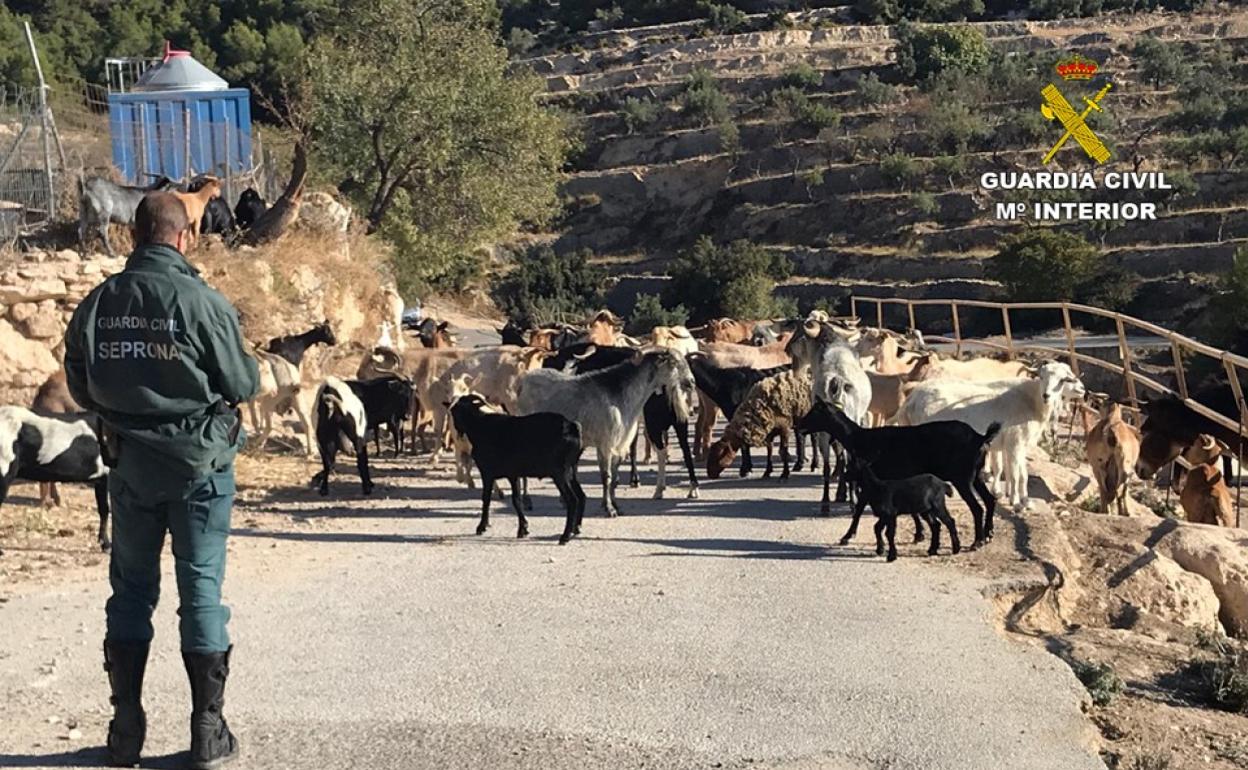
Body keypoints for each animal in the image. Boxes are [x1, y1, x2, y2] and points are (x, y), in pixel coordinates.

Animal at [446, 394, 586, 544]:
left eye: (454, 411)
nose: (457, 431)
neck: (480, 426)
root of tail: (572, 426)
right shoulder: (513, 475)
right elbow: (516, 499)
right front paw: (523, 528)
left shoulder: (487, 473)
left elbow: (486, 498)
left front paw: (481, 527)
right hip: (571, 471)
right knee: (581, 496)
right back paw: (575, 529)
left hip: (560, 473)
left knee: (572, 500)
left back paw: (565, 536)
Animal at [803, 401, 998, 551]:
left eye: (814, 413)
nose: (798, 425)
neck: (860, 439)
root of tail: (980, 438)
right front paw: (919, 534)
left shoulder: (873, 479)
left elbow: (859, 508)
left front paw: (847, 536)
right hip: (977, 475)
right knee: (990, 499)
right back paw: (988, 535)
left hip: (962, 477)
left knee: (977, 507)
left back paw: (977, 542)